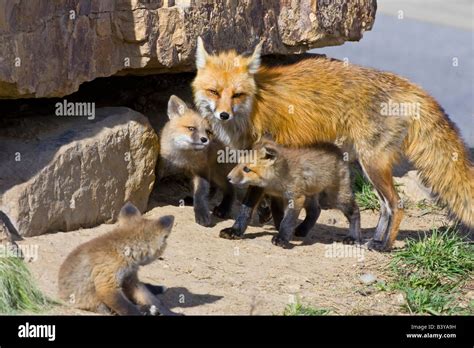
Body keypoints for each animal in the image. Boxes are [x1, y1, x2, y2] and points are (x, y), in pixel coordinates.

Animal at [193, 37, 474, 250]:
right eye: (214, 92)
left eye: (237, 95)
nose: (223, 115)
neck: (253, 107)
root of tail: (411, 86)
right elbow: (273, 202)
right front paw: (278, 224)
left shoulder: (260, 163)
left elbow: (248, 205)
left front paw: (239, 230)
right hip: (369, 167)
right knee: (385, 207)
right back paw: (372, 240)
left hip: (372, 164)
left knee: (397, 205)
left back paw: (385, 246)